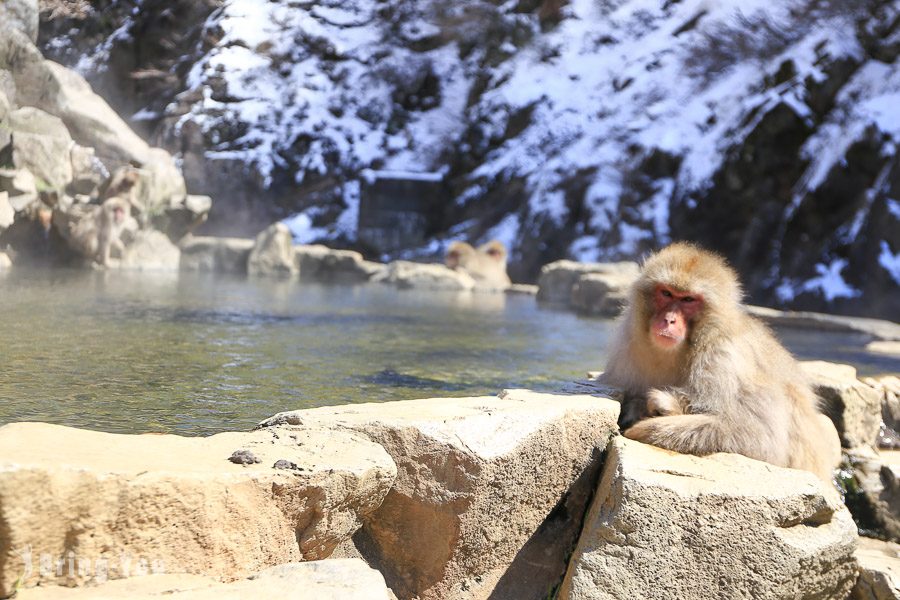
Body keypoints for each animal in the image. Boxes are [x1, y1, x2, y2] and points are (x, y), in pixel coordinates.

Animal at [600, 241, 840, 480]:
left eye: (688, 299)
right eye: (666, 293)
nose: (669, 320)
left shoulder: (722, 359)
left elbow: (761, 437)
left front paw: (646, 424)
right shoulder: (625, 350)